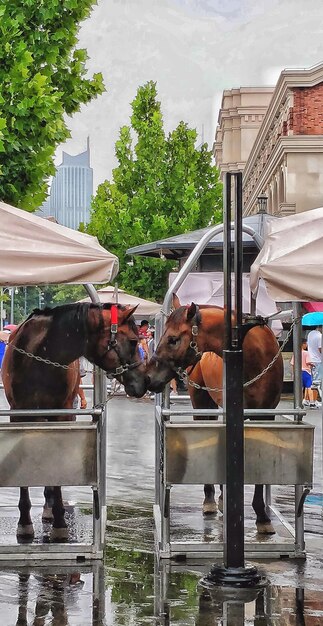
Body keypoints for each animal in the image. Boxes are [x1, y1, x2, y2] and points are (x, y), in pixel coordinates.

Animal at [2, 300, 147, 540]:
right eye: (134, 341)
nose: (145, 381)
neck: (38, 356)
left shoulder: (62, 415)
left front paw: (60, 522)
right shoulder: (19, 415)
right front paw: (24, 522)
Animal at [146, 294, 284, 532]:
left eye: (173, 339)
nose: (149, 377)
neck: (255, 357)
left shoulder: (265, 415)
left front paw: (262, 516)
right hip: (202, 404)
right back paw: (211, 498)